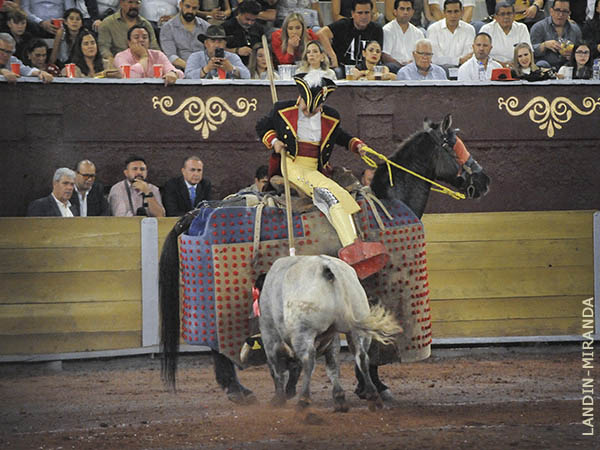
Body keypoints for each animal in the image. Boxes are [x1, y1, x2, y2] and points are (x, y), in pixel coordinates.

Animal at [258, 255, 404, 414]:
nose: (290, 392)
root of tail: (326, 265)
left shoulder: (269, 335)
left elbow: (276, 368)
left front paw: (278, 398)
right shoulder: (332, 338)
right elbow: (332, 366)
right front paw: (339, 398)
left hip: (303, 331)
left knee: (308, 360)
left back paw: (303, 400)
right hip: (357, 328)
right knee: (361, 357)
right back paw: (372, 397)